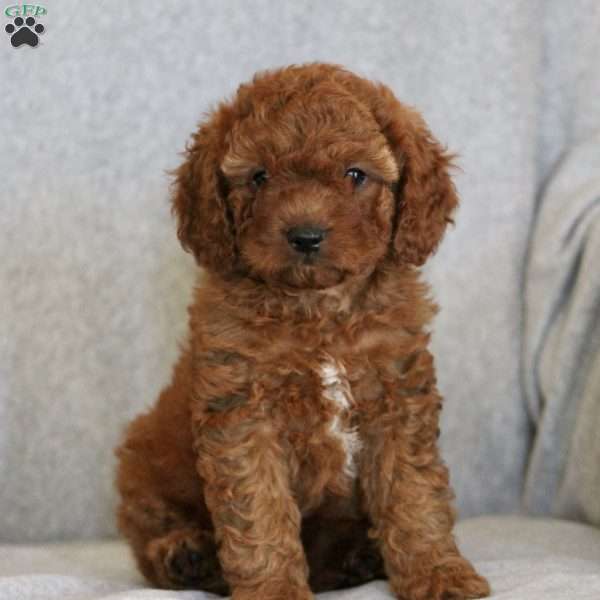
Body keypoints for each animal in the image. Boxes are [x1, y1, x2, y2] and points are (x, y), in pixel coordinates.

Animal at [115, 62, 490, 600]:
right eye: (259, 176)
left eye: (355, 174)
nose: (305, 235)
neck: (319, 311)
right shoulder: (243, 414)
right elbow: (259, 511)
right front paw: (274, 588)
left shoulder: (397, 398)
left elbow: (413, 495)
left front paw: (439, 574)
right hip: (144, 458)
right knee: (149, 528)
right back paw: (185, 555)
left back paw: (356, 558)